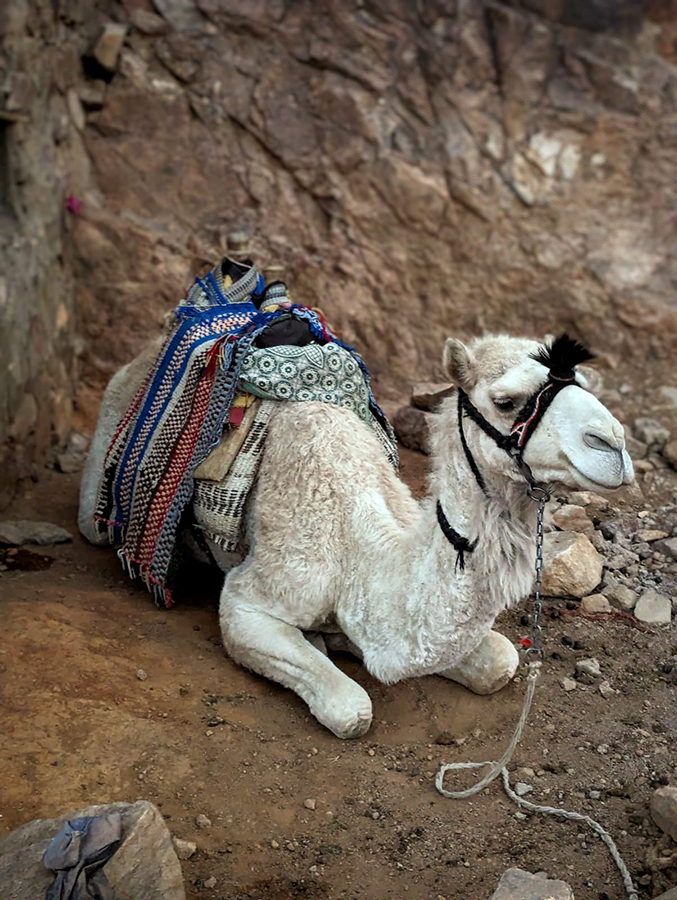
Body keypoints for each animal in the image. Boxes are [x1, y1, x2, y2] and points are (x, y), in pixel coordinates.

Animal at [79, 332, 633, 738]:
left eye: (586, 384)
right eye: (505, 400)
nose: (614, 444)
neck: (358, 552)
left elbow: (501, 660)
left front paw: (336, 639)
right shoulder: (249, 600)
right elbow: (352, 710)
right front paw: (324, 645)